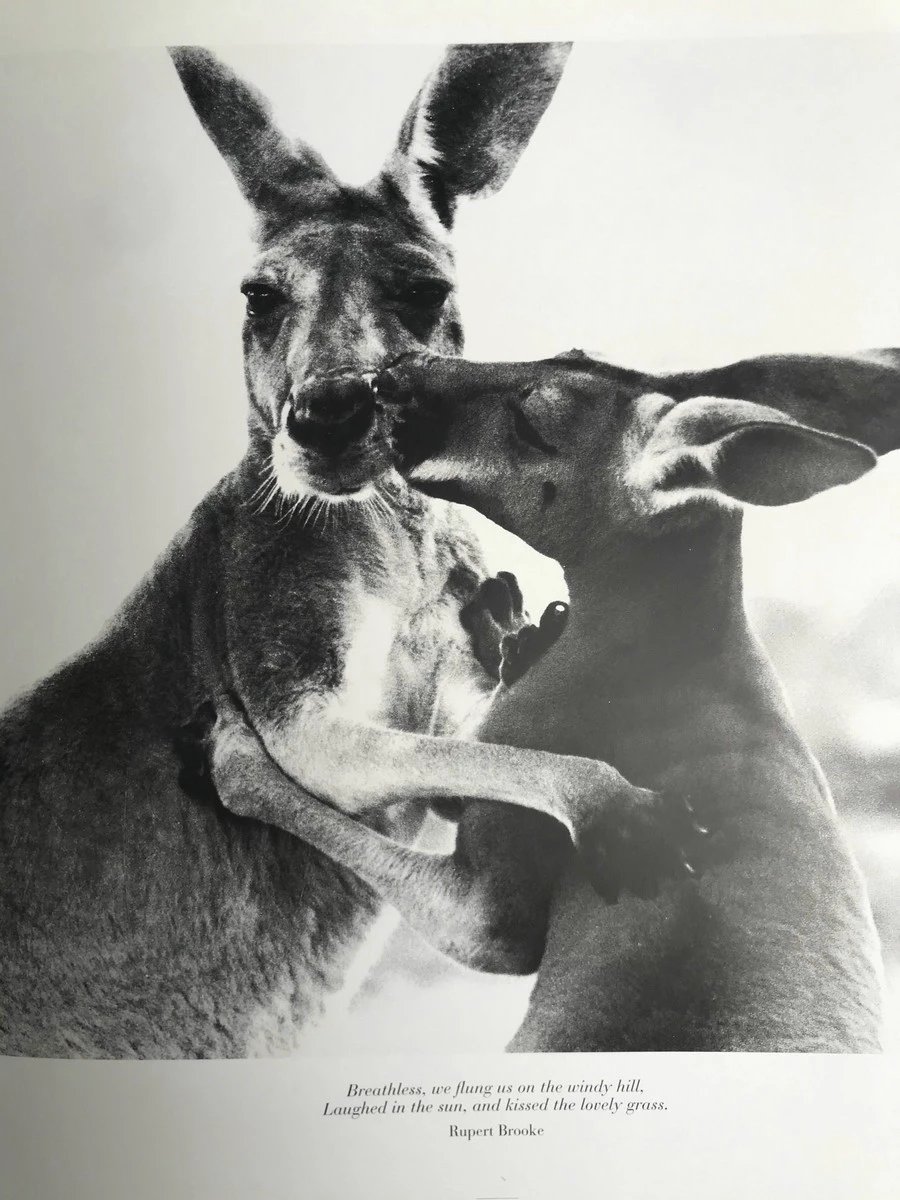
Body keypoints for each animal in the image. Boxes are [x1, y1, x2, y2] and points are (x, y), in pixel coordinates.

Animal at [191, 346, 899, 1051]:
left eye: (532, 425)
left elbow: (422, 866)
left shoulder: (491, 900)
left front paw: (236, 757)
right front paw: (514, 632)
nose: (394, 372)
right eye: (571, 351)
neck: (670, 646)